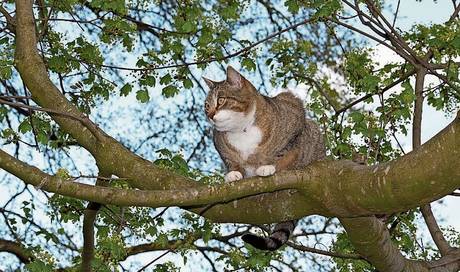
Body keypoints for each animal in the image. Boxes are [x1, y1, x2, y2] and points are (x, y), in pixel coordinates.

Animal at [203, 66, 326, 251]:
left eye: (221, 100)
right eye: (206, 105)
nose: (209, 115)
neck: (240, 129)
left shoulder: (294, 110)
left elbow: (281, 152)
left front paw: (267, 166)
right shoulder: (218, 143)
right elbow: (231, 161)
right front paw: (234, 173)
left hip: (314, 134)